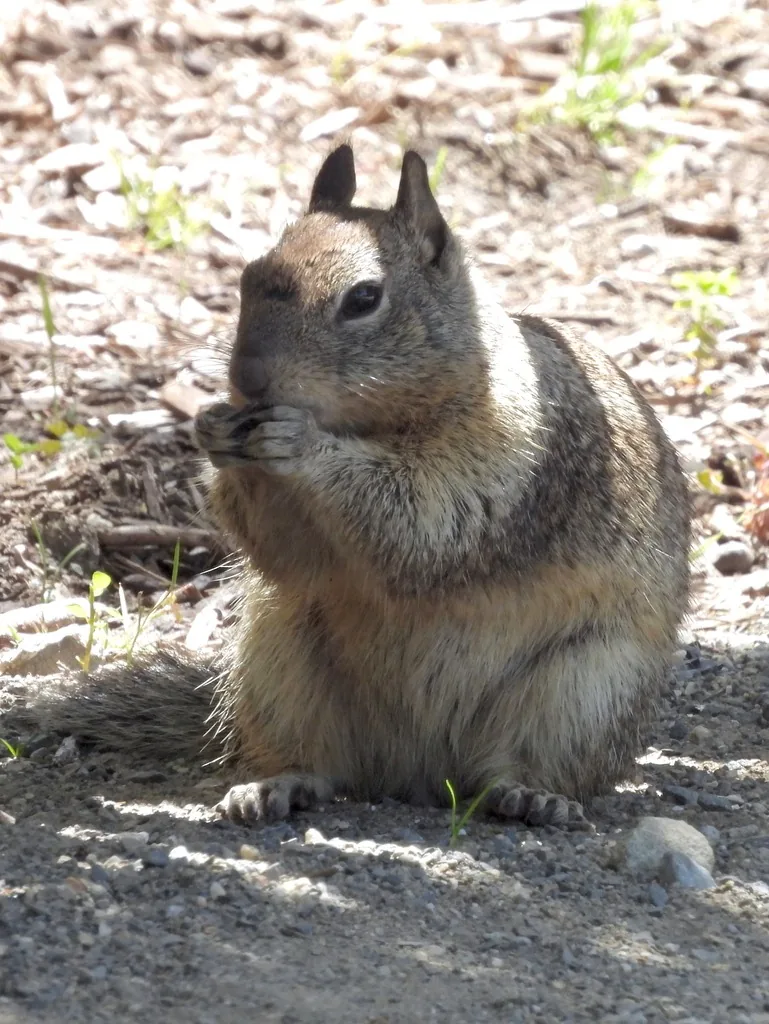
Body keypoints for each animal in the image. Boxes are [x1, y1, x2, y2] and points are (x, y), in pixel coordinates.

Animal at [28, 144, 690, 829]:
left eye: (365, 297)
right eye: (248, 276)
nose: (247, 379)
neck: (376, 424)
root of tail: (420, 773)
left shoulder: (505, 465)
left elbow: (423, 525)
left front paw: (299, 443)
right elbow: (292, 554)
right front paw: (212, 430)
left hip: (584, 689)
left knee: (522, 767)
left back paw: (531, 795)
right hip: (280, 658)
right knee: (325, 763)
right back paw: (275, 785)